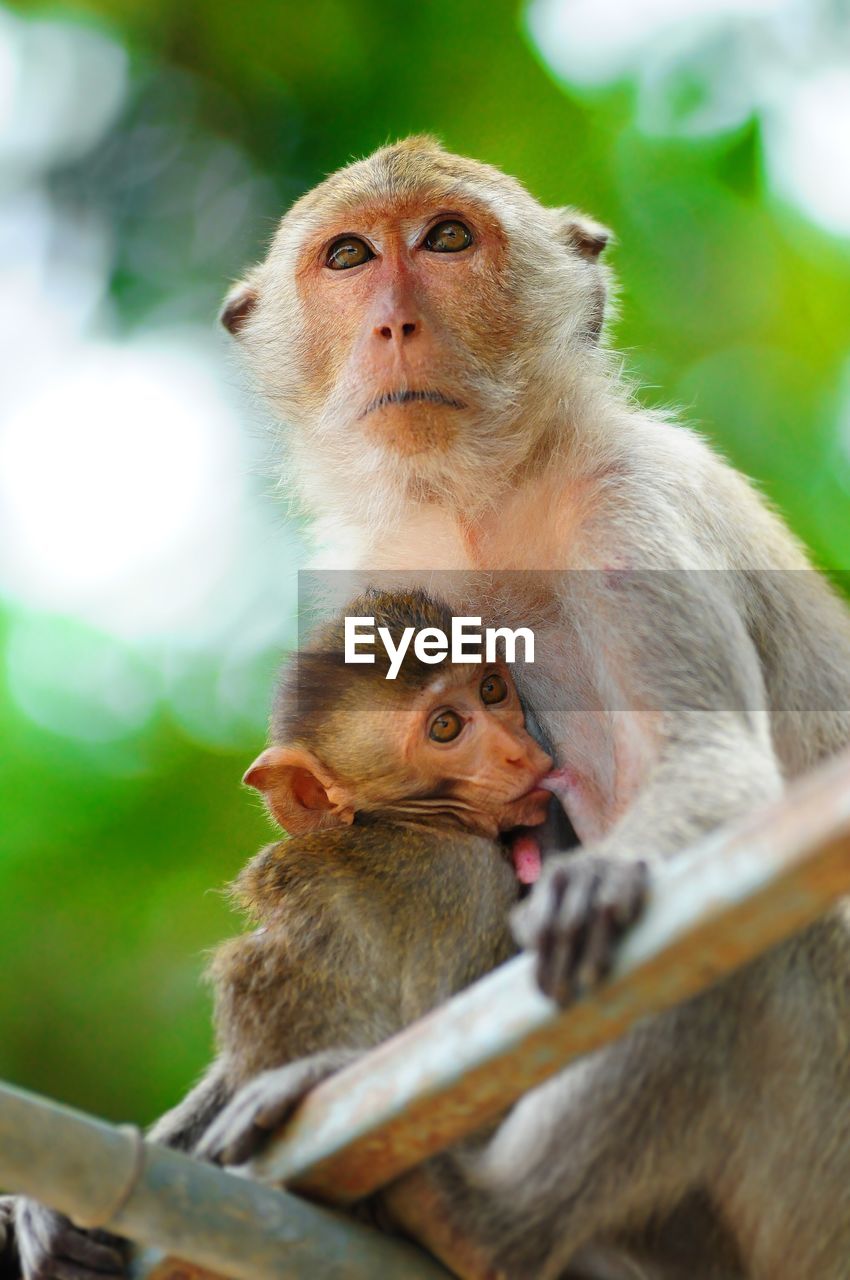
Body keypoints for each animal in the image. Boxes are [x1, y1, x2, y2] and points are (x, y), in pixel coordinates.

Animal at [217, 135, 850, 1274]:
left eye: (446, 239)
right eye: (348, 257)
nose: (395, 322)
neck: (486, 509)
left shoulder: (633, 506)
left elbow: (715, 776)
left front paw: (589, 883)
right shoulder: (370, 576)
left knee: (752, 935)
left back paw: (483, 1219)